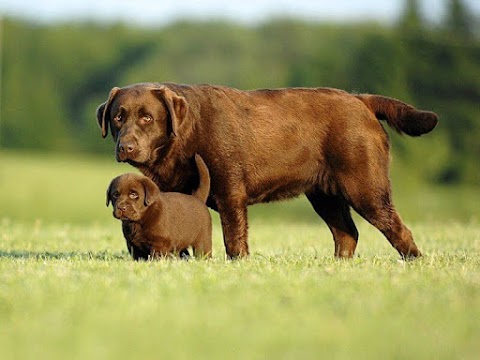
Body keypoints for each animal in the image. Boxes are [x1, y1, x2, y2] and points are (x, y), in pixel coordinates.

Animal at [97, 82, 438, 258]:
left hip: (365, 188)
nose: (126, 147)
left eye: (147, 118)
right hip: (324, 196)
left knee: (397, 229)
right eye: (118, 117)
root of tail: (360, 100)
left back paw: (414, 263)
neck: (186, 135)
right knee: (347, 233)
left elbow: (234, 240)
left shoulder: (230, 192)